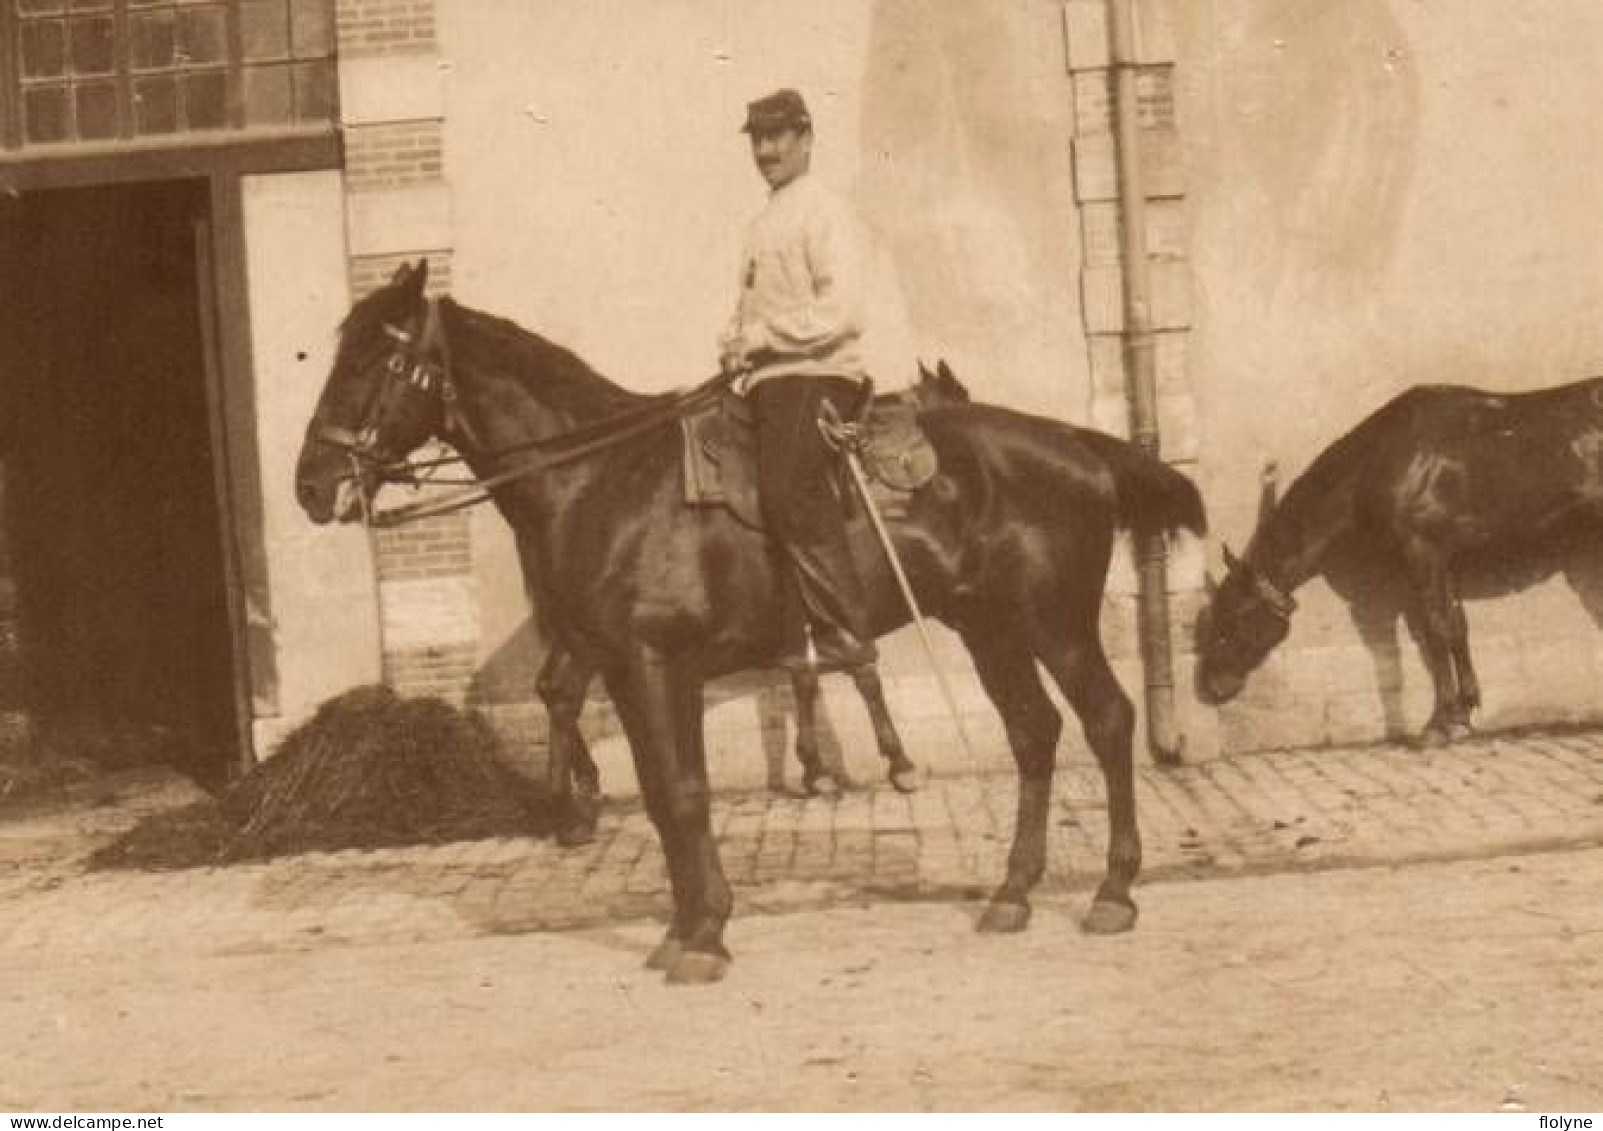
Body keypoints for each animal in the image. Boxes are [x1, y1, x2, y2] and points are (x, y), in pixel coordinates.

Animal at [298, 262, 1205, 980]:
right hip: (988, 628)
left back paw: (1113, 889)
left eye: (378, 358)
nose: (311, 483)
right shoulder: (630, 672)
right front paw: (687, 924)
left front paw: (703, 935)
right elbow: (663, 795)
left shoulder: (659, 665)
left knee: (1106, 720)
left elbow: (685, 793)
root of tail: (1080, 445)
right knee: (1033, 733)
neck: (601, 477)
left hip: (1055, 624)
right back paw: (1012, 892)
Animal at [1199, 378, 1603, 743]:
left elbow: (1434, 630)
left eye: (1233, 618)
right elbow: (1456, 626)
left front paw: (1438, 723)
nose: (1213, 687)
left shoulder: (1421, 552)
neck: (1388, 457)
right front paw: (1464, 713)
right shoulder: (1446, 558)